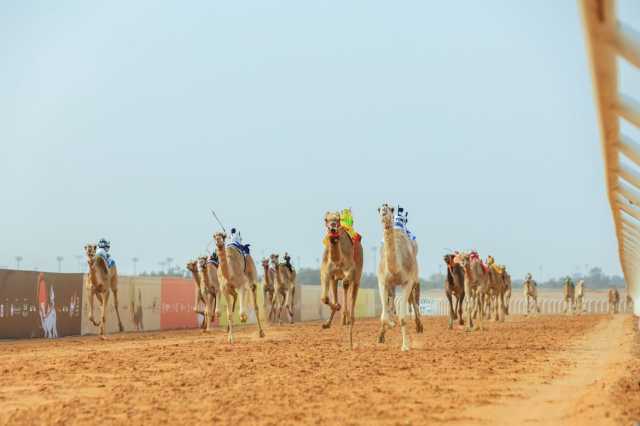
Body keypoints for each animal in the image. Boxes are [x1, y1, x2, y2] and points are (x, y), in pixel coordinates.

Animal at [318, 211, 362, 348]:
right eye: (325, 219)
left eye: (337, 219)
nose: (333, 228)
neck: (337, 259)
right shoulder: (326, 272)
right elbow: (325, 298)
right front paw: (337, 308)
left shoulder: (351, 270)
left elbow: (346, 283)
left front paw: (345, 317)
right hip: (334, 279)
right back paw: (330, 322)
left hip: (358, 275)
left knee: (352, 293)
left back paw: (349, 324)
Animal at [372, 205, 422, 352]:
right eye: (379, 209)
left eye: (390, 208)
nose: (384, 211)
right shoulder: (382, 281)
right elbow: (384, 316)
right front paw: (388, 327)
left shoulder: (407, 281)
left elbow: (403, 317)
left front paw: (405, 346)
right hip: (392, 285)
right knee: (393, 299)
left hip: (414, 278)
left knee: (413, 299)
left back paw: (419, 325)